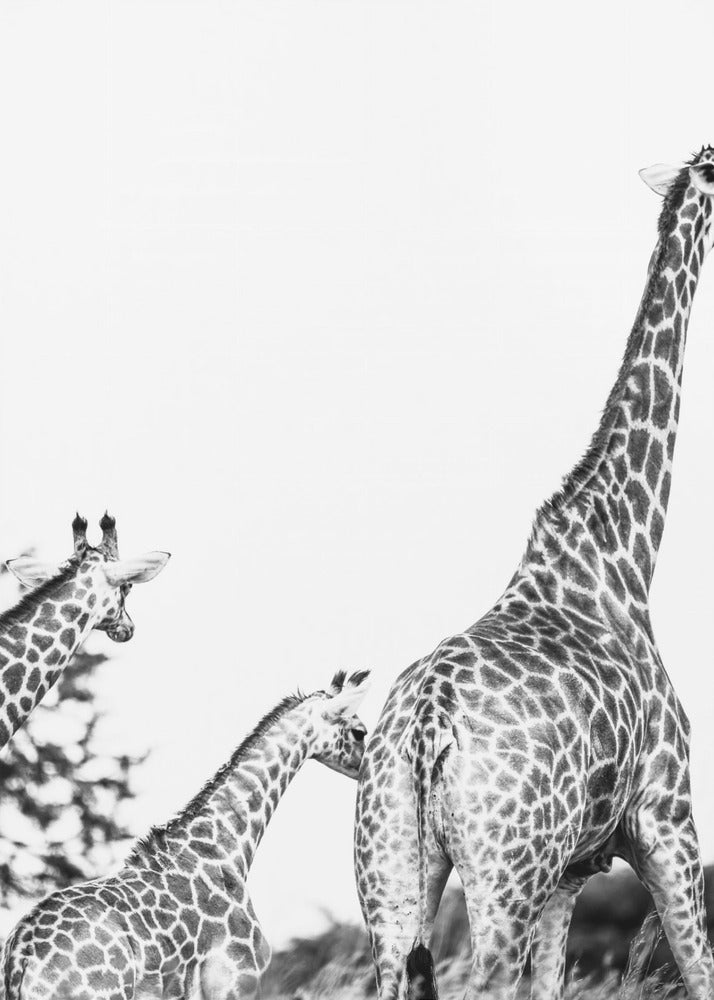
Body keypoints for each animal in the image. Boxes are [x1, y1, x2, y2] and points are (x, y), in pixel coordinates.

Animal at [354, 147, 714, 1000]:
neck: (623, 556)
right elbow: (701, 970)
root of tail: (425, 726)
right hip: (503, 871)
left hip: (393, 862)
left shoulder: (571, 872)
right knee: (483, 980)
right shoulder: (669, 818)